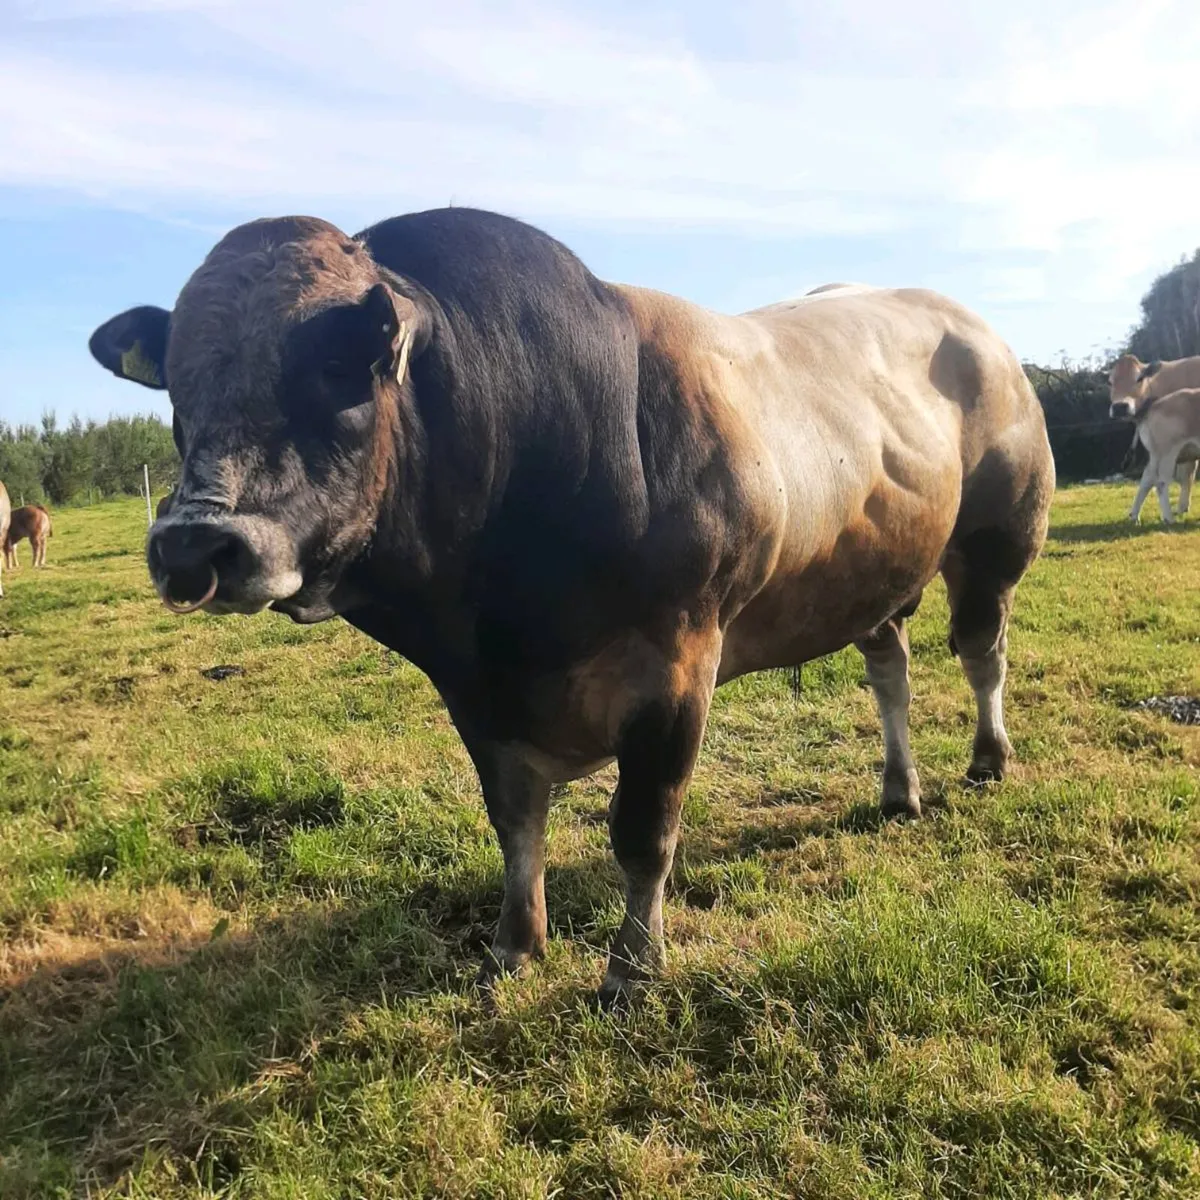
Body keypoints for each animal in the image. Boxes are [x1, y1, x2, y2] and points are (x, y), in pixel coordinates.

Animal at [86, 208, 1055, 1005]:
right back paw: (898, 789)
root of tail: (975, 330)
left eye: (337, 367)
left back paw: (987, 758)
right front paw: (514, 947)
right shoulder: (476, 698)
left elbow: (643, 832)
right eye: (177, 388)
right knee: (890, 669)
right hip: (876, 572)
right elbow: (516, 822)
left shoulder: (676, 672)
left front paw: (631, 968)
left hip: (997, 542)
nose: (192, 545)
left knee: (982, 652)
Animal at [1108, 353, 1200, 517]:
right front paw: (1182, 507)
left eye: (1139, 378)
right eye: (1109, 382)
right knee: (1159, 481)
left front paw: (1183, 506)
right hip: (1165, 453)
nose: (1120, 407)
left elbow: (1187, 474)